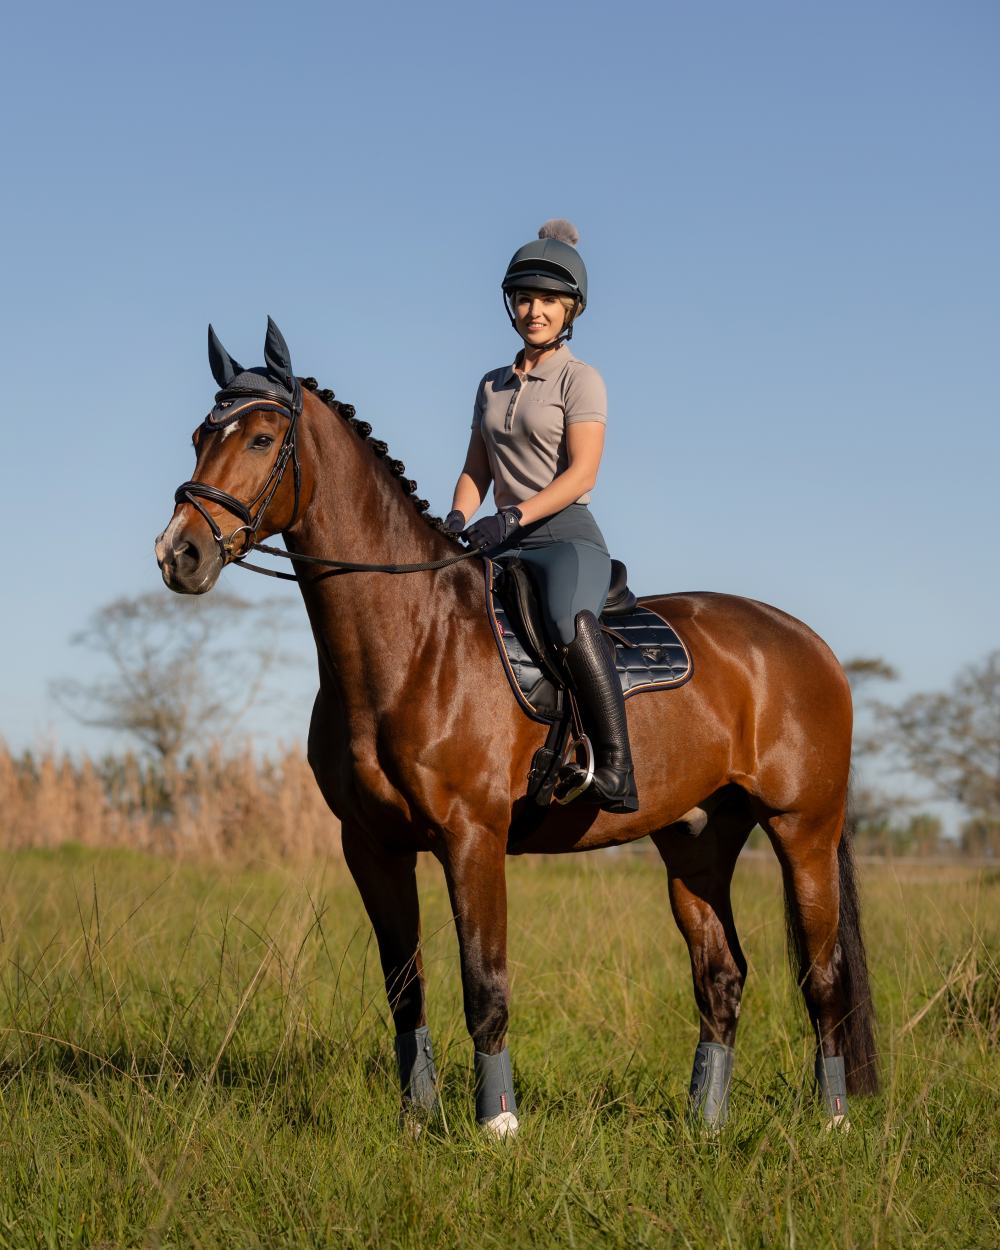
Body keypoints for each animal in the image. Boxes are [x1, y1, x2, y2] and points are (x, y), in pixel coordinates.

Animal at [154, 320, 875, 1135]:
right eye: (198, 436)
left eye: (261, 438)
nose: (178, 554)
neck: (412, 638)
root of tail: (809, 645)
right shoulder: (371, 846)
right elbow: (404, 988)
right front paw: (416, 1120)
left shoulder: (473, 837)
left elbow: (485, 984)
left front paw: (498, 1125)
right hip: (696, 844)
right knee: (721, 976)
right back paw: (704, 1124)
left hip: (802, 829)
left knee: (823, 979)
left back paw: (833, 1121)